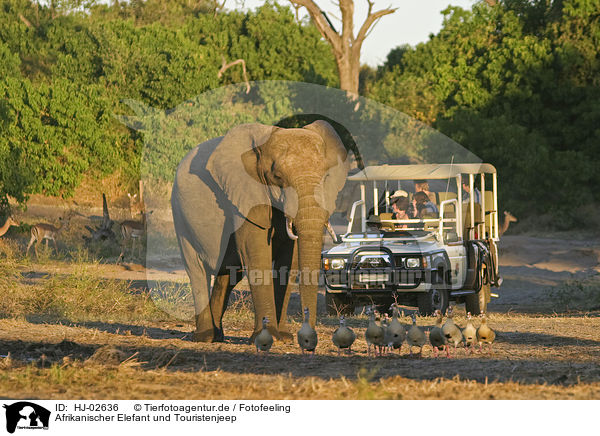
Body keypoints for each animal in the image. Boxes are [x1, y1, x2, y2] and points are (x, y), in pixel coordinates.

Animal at [171, 118, 352, 340]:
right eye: (278, 177)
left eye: (326, 177)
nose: (308, 338)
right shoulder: (246, 194)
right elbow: (255, 250)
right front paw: (268, 337)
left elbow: (290, 259)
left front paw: (283, 337)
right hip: (180, 214)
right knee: (196, 270)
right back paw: (205, 337)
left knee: (228, 274)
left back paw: (217, 336)